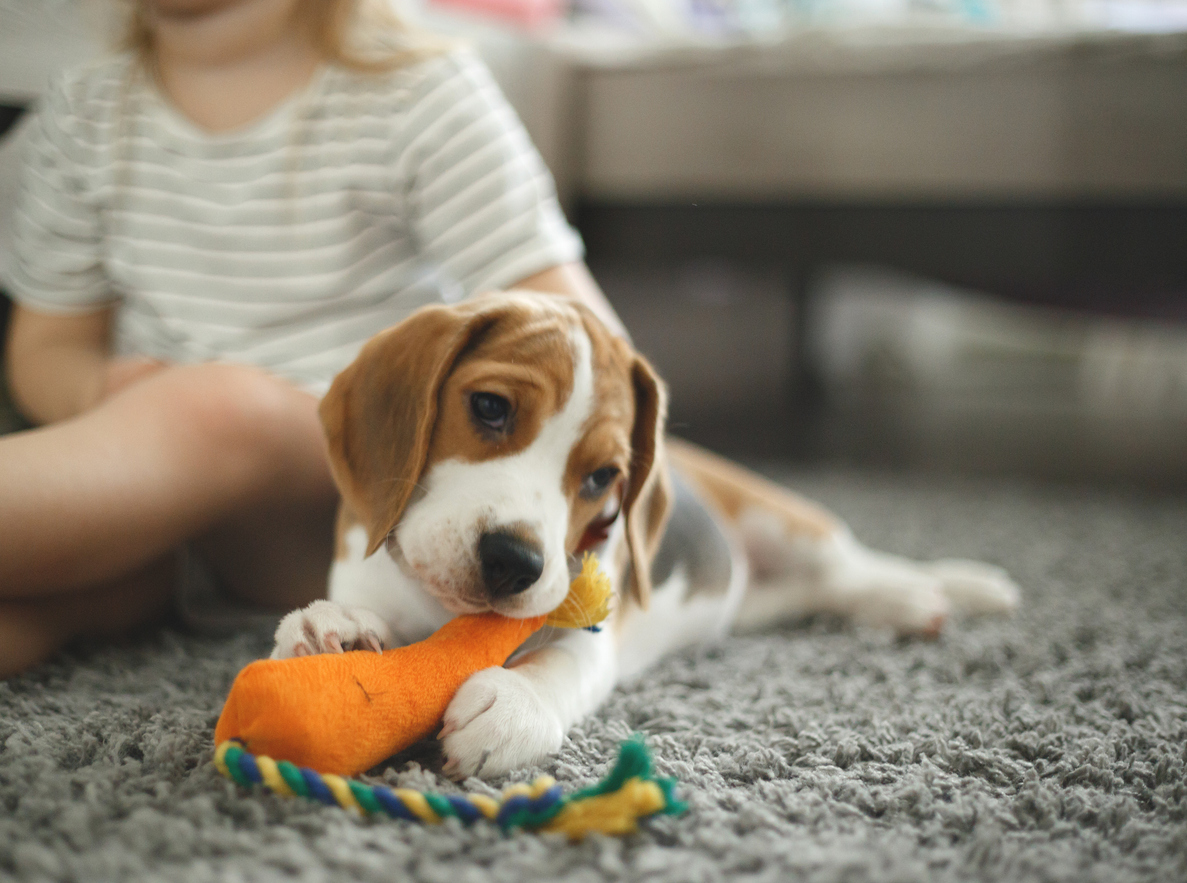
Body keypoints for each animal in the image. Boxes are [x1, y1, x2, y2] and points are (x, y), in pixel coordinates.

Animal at [271, 291, 1020, 778]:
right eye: (488, 407)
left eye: (603, 476)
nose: (515, 562)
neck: (442, 610)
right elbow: (364, 614)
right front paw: (334, 629)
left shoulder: (588, 632)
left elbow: (558, 665)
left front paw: (512, 706)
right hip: (759, 597)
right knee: (824, 589)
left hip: (788, 521)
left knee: (855, 563)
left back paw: (933, 591)